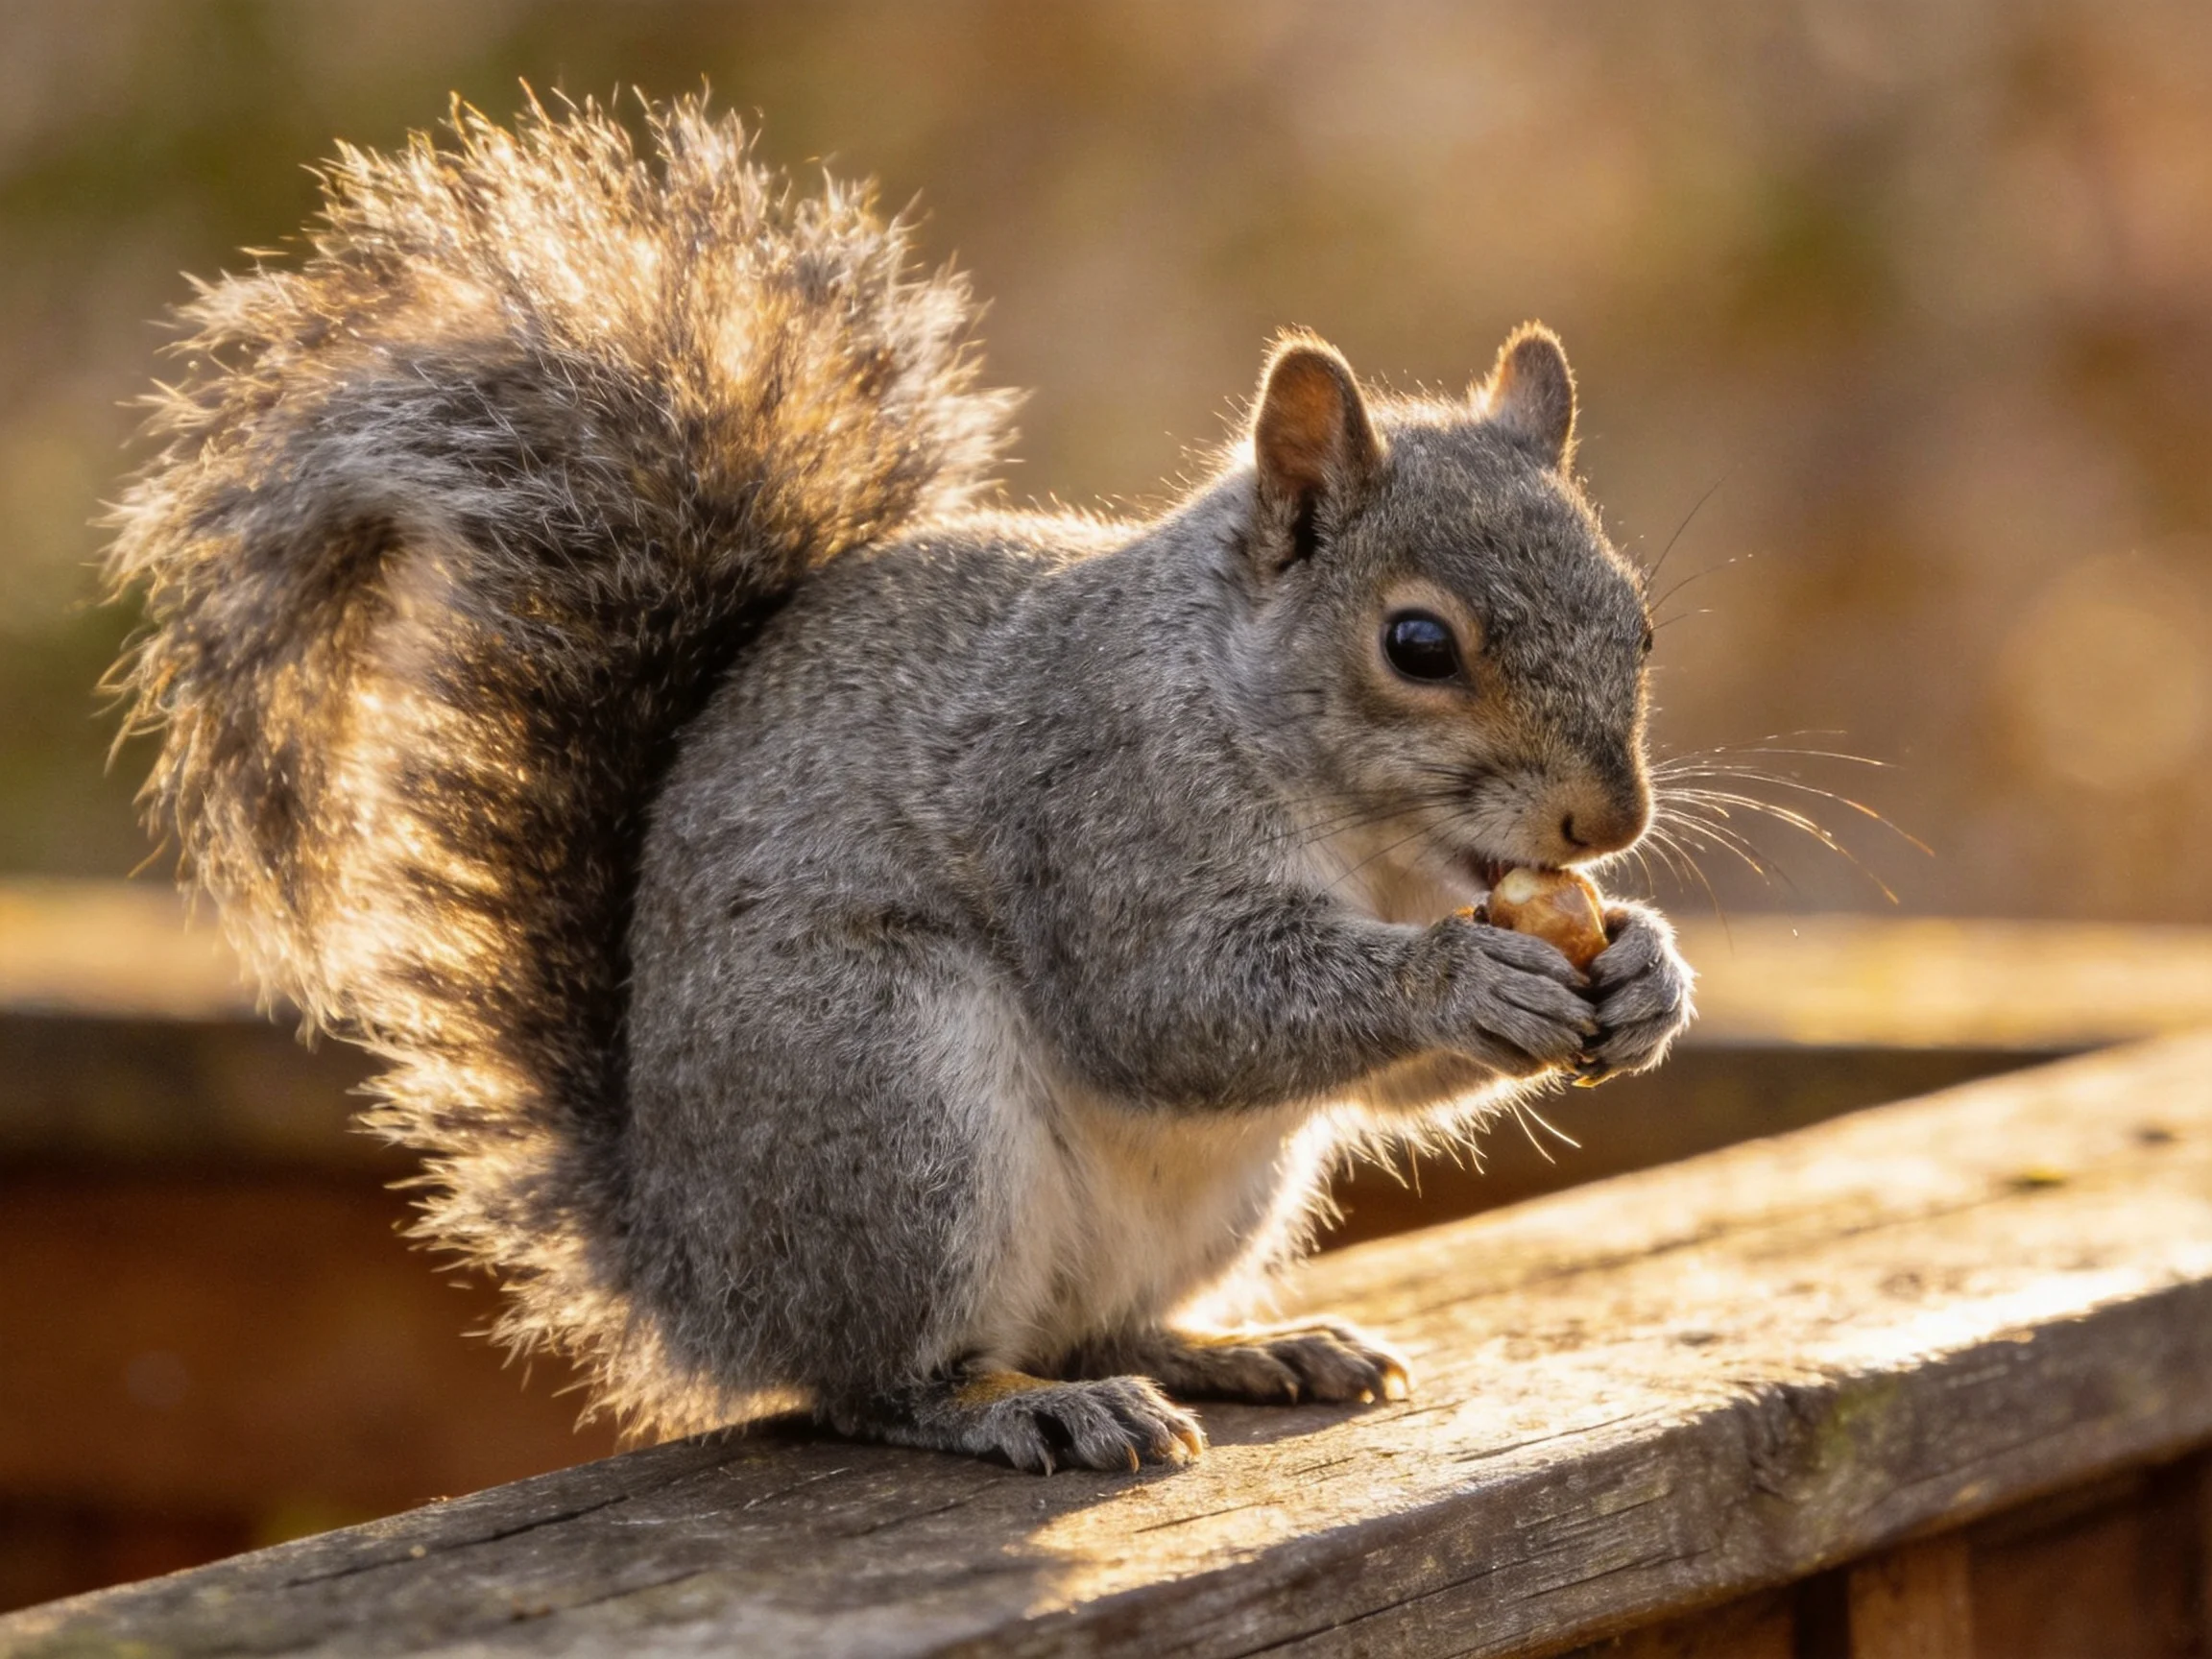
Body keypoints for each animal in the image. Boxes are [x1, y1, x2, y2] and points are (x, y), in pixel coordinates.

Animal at [106, 96, 1694, 1474]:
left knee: (1103, 1323)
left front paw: (1646, 969)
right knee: (881, 1381)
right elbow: (1169, 1004)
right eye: (1418, 645)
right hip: (887, 1097)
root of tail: (688, 1265)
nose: (1609, 822)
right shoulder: (1092, 803)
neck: (1359, 830)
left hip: (1202, 1192)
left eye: (1639, 622)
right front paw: (1461, 979)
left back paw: (1240, 1349)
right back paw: (1018, 1406)